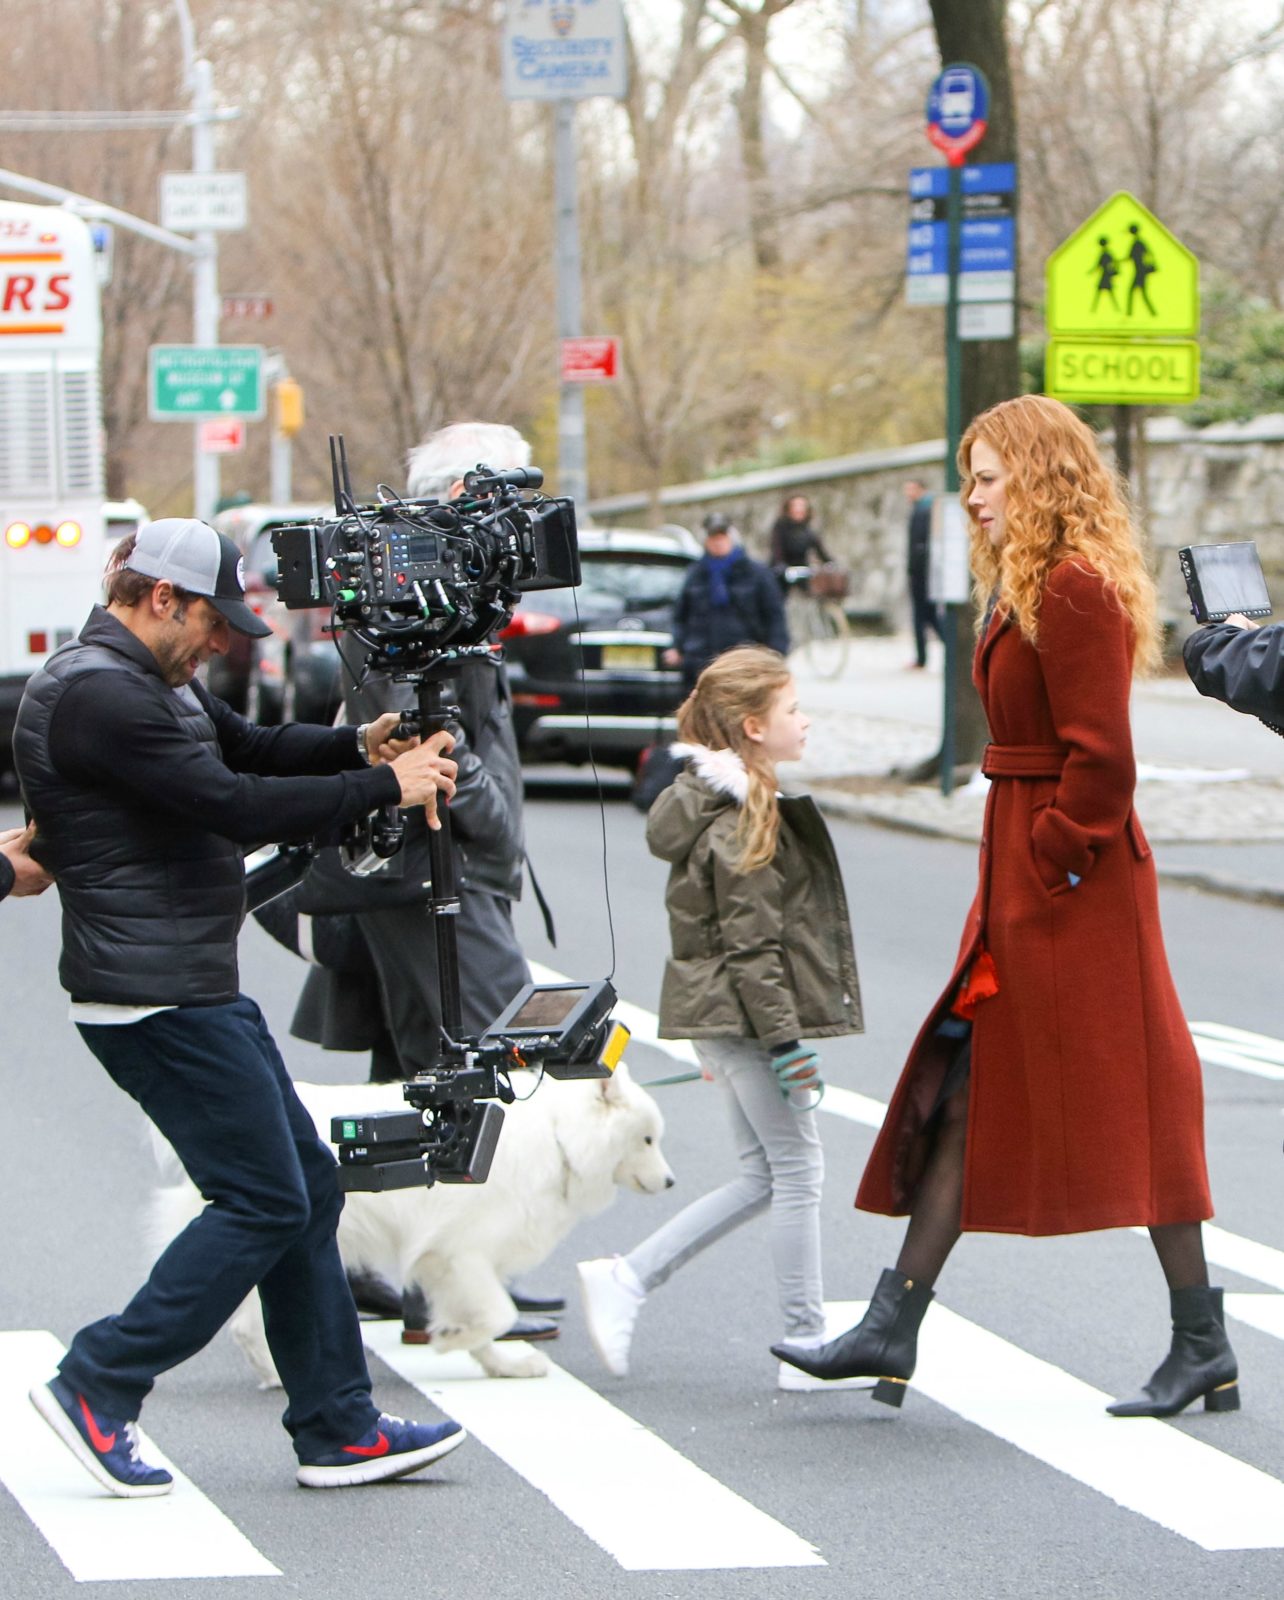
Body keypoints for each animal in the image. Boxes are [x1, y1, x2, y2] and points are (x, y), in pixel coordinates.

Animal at [147, 1062, 669, 1376]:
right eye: (647, 1140)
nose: (671, 1182)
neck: (561, 1136)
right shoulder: (461, 1253)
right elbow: (498, 1312)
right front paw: (451, 1341)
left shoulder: (456, 1265)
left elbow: (488, 1317)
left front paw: (500, 1363)